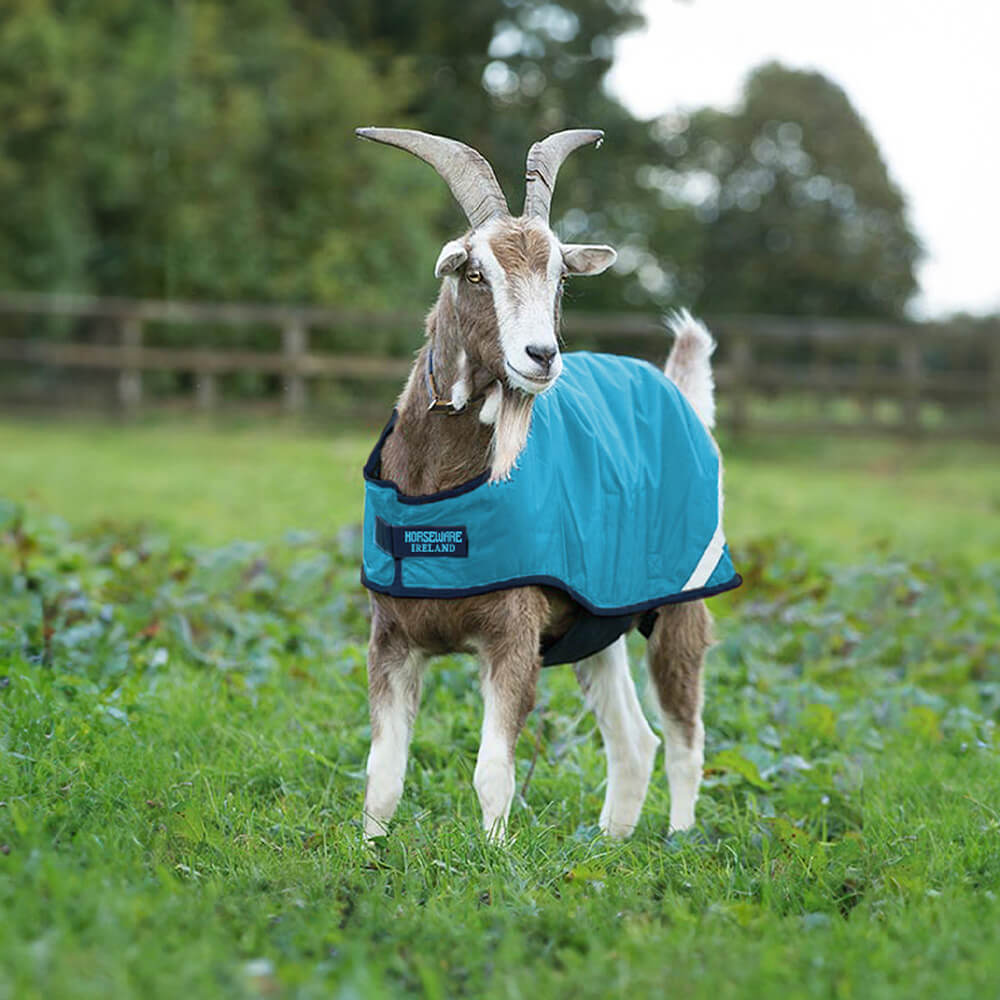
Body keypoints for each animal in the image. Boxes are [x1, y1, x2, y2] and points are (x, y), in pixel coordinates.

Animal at [355, 126, 740, 841]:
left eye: (560, 276)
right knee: (634, 741)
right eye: (475, 272)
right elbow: (383, 775)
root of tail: (680, 395)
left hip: (682, 599)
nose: (541, 356)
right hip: (601, 616)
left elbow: (491, 774)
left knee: (684, 736)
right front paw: (367, 855)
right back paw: (610, 845)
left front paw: (492, 859)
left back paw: (678, 841)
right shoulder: (391, 636)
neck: (439, 494)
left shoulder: (514, 632)